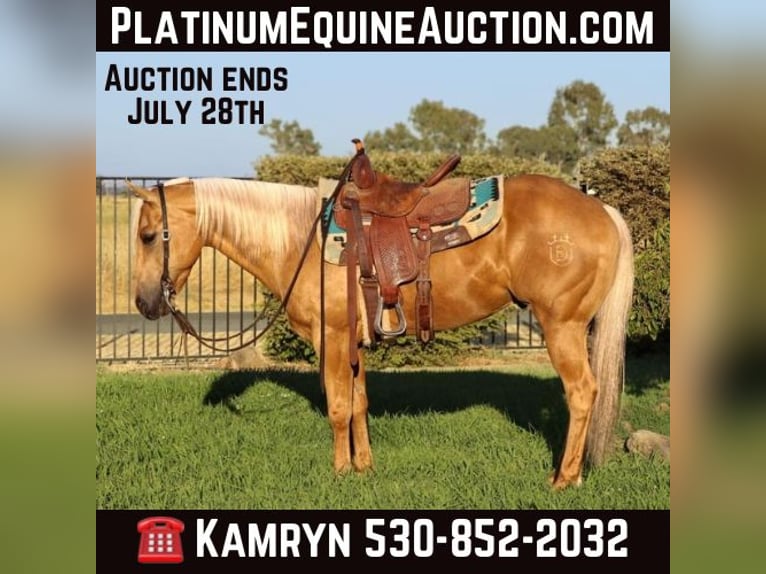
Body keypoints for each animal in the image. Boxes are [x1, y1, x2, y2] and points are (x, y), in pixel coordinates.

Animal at [127, 153, 633, 490]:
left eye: (149, 235)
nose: (145, 302)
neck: (302, 241)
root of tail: (602, 210)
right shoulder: (353, 341)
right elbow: (359, 403)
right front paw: (364, 467)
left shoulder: (330, 339)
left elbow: (337, 406)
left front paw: (339, 472)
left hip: (562, 326)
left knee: (582, 392)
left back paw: (565, 478)